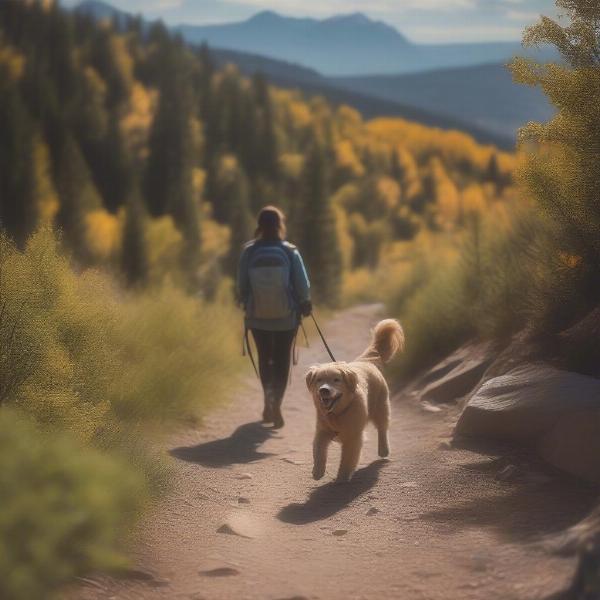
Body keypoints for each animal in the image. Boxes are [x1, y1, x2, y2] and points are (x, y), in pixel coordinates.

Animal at [304, 318, 404, 482]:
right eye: (319, 380)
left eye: (336, 380)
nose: (324, 390)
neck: (337, 413)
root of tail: (366, 361)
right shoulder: (322, 431)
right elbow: (318, 451)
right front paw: (317, 471)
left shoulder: (353, 437)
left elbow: (347, 459)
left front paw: (343, 476)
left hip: (381, 407)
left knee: (382, 428)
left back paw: (383, 449)